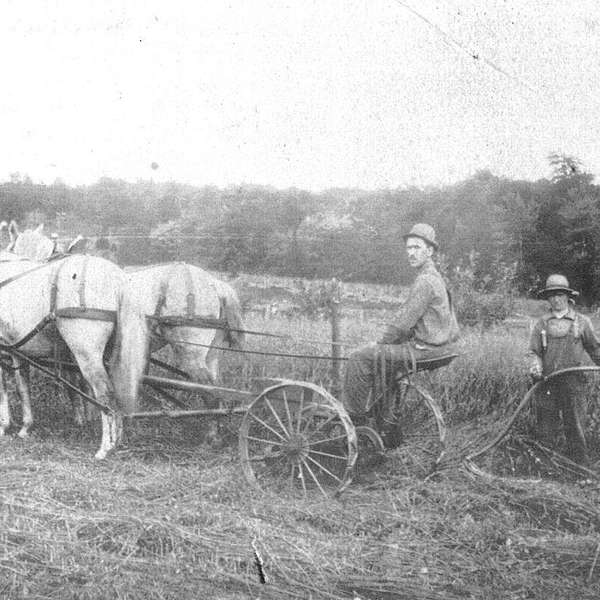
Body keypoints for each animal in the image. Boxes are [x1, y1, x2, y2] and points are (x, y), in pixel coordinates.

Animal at [0, 245, 148, 460]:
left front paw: (4, 426)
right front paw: (25, 428)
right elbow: (23, 388)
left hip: (87, 356)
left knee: (105, 394)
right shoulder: (17, 352)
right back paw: (117, 441)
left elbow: (4, 391)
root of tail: (118, 278)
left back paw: (105, 448)